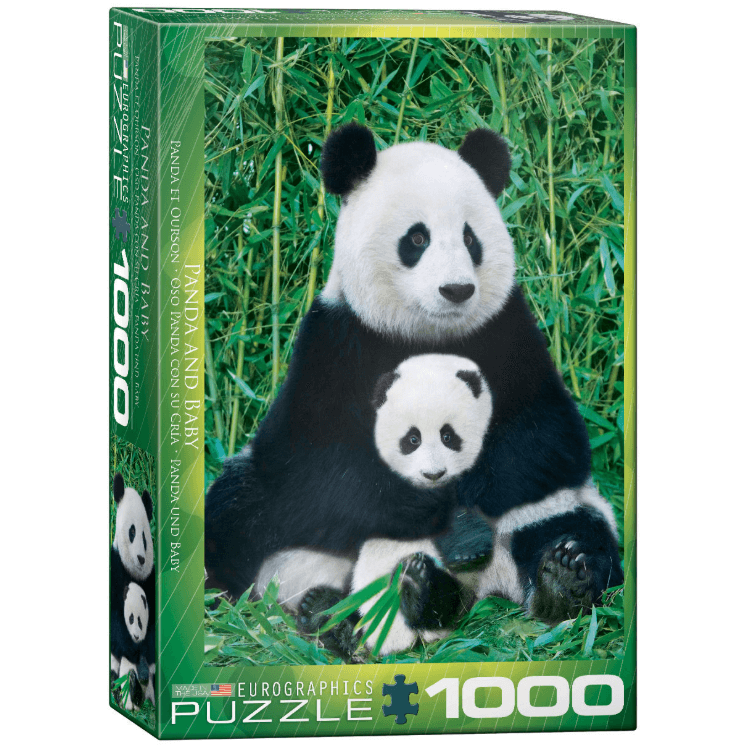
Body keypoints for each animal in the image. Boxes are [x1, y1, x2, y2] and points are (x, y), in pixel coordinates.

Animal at [204, 124, 623, 646]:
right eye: (417, 238)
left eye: (470, 237)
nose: (457, 290)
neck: (426, 334)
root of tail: (484, 589)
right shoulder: (336, 342)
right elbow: (315, 464)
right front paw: (444, 515)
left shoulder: (508, 334)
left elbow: (547, 439)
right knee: (237, 513)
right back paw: (336, 612)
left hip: (558, 508)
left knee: (578, 530)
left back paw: (558, 580)